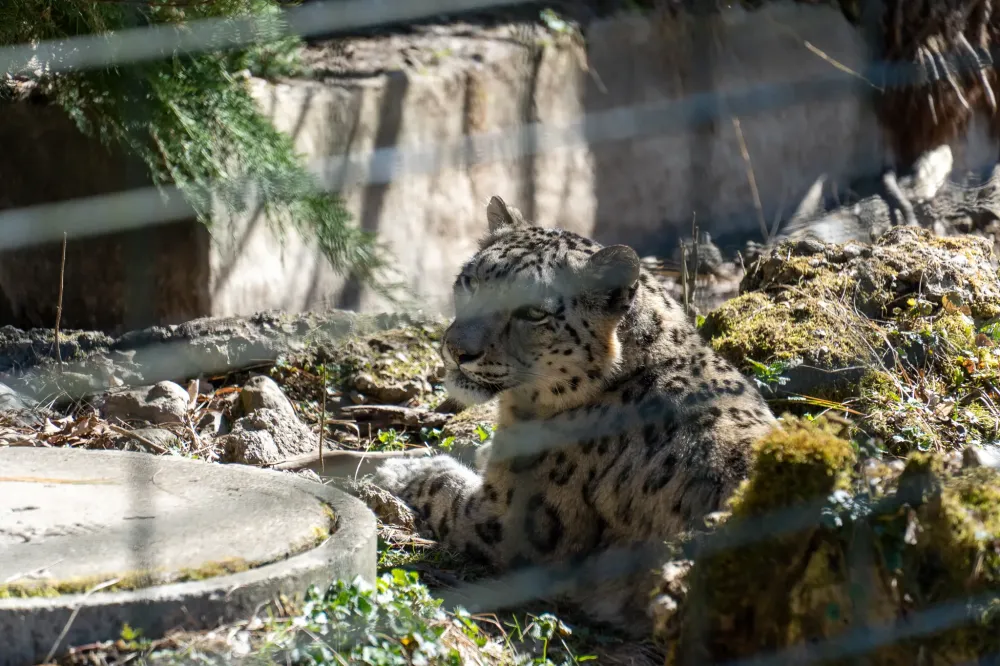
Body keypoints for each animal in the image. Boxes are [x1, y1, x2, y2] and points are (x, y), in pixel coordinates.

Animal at [373, 195, 778, 636]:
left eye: (533, 312)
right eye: (471, 280)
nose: (457, 349)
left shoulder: (504, 521)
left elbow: (444, 485)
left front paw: (401, 470)